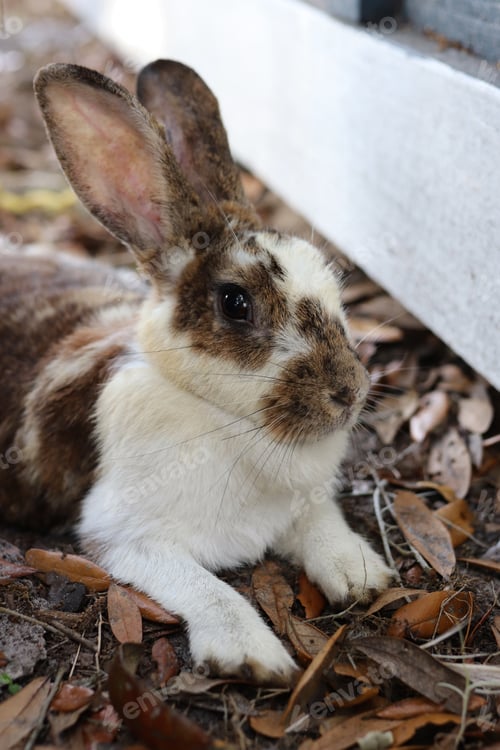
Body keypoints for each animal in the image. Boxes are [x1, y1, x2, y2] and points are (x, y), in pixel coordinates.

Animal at [0, 60, 392, 685]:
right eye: (235, 303)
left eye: (332, 282)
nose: (350, 392)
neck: (224, 419)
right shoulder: (126, 538)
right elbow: (207, 589)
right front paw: (250, 655)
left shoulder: (304, 500)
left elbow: (320, 520)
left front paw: (359, 573)